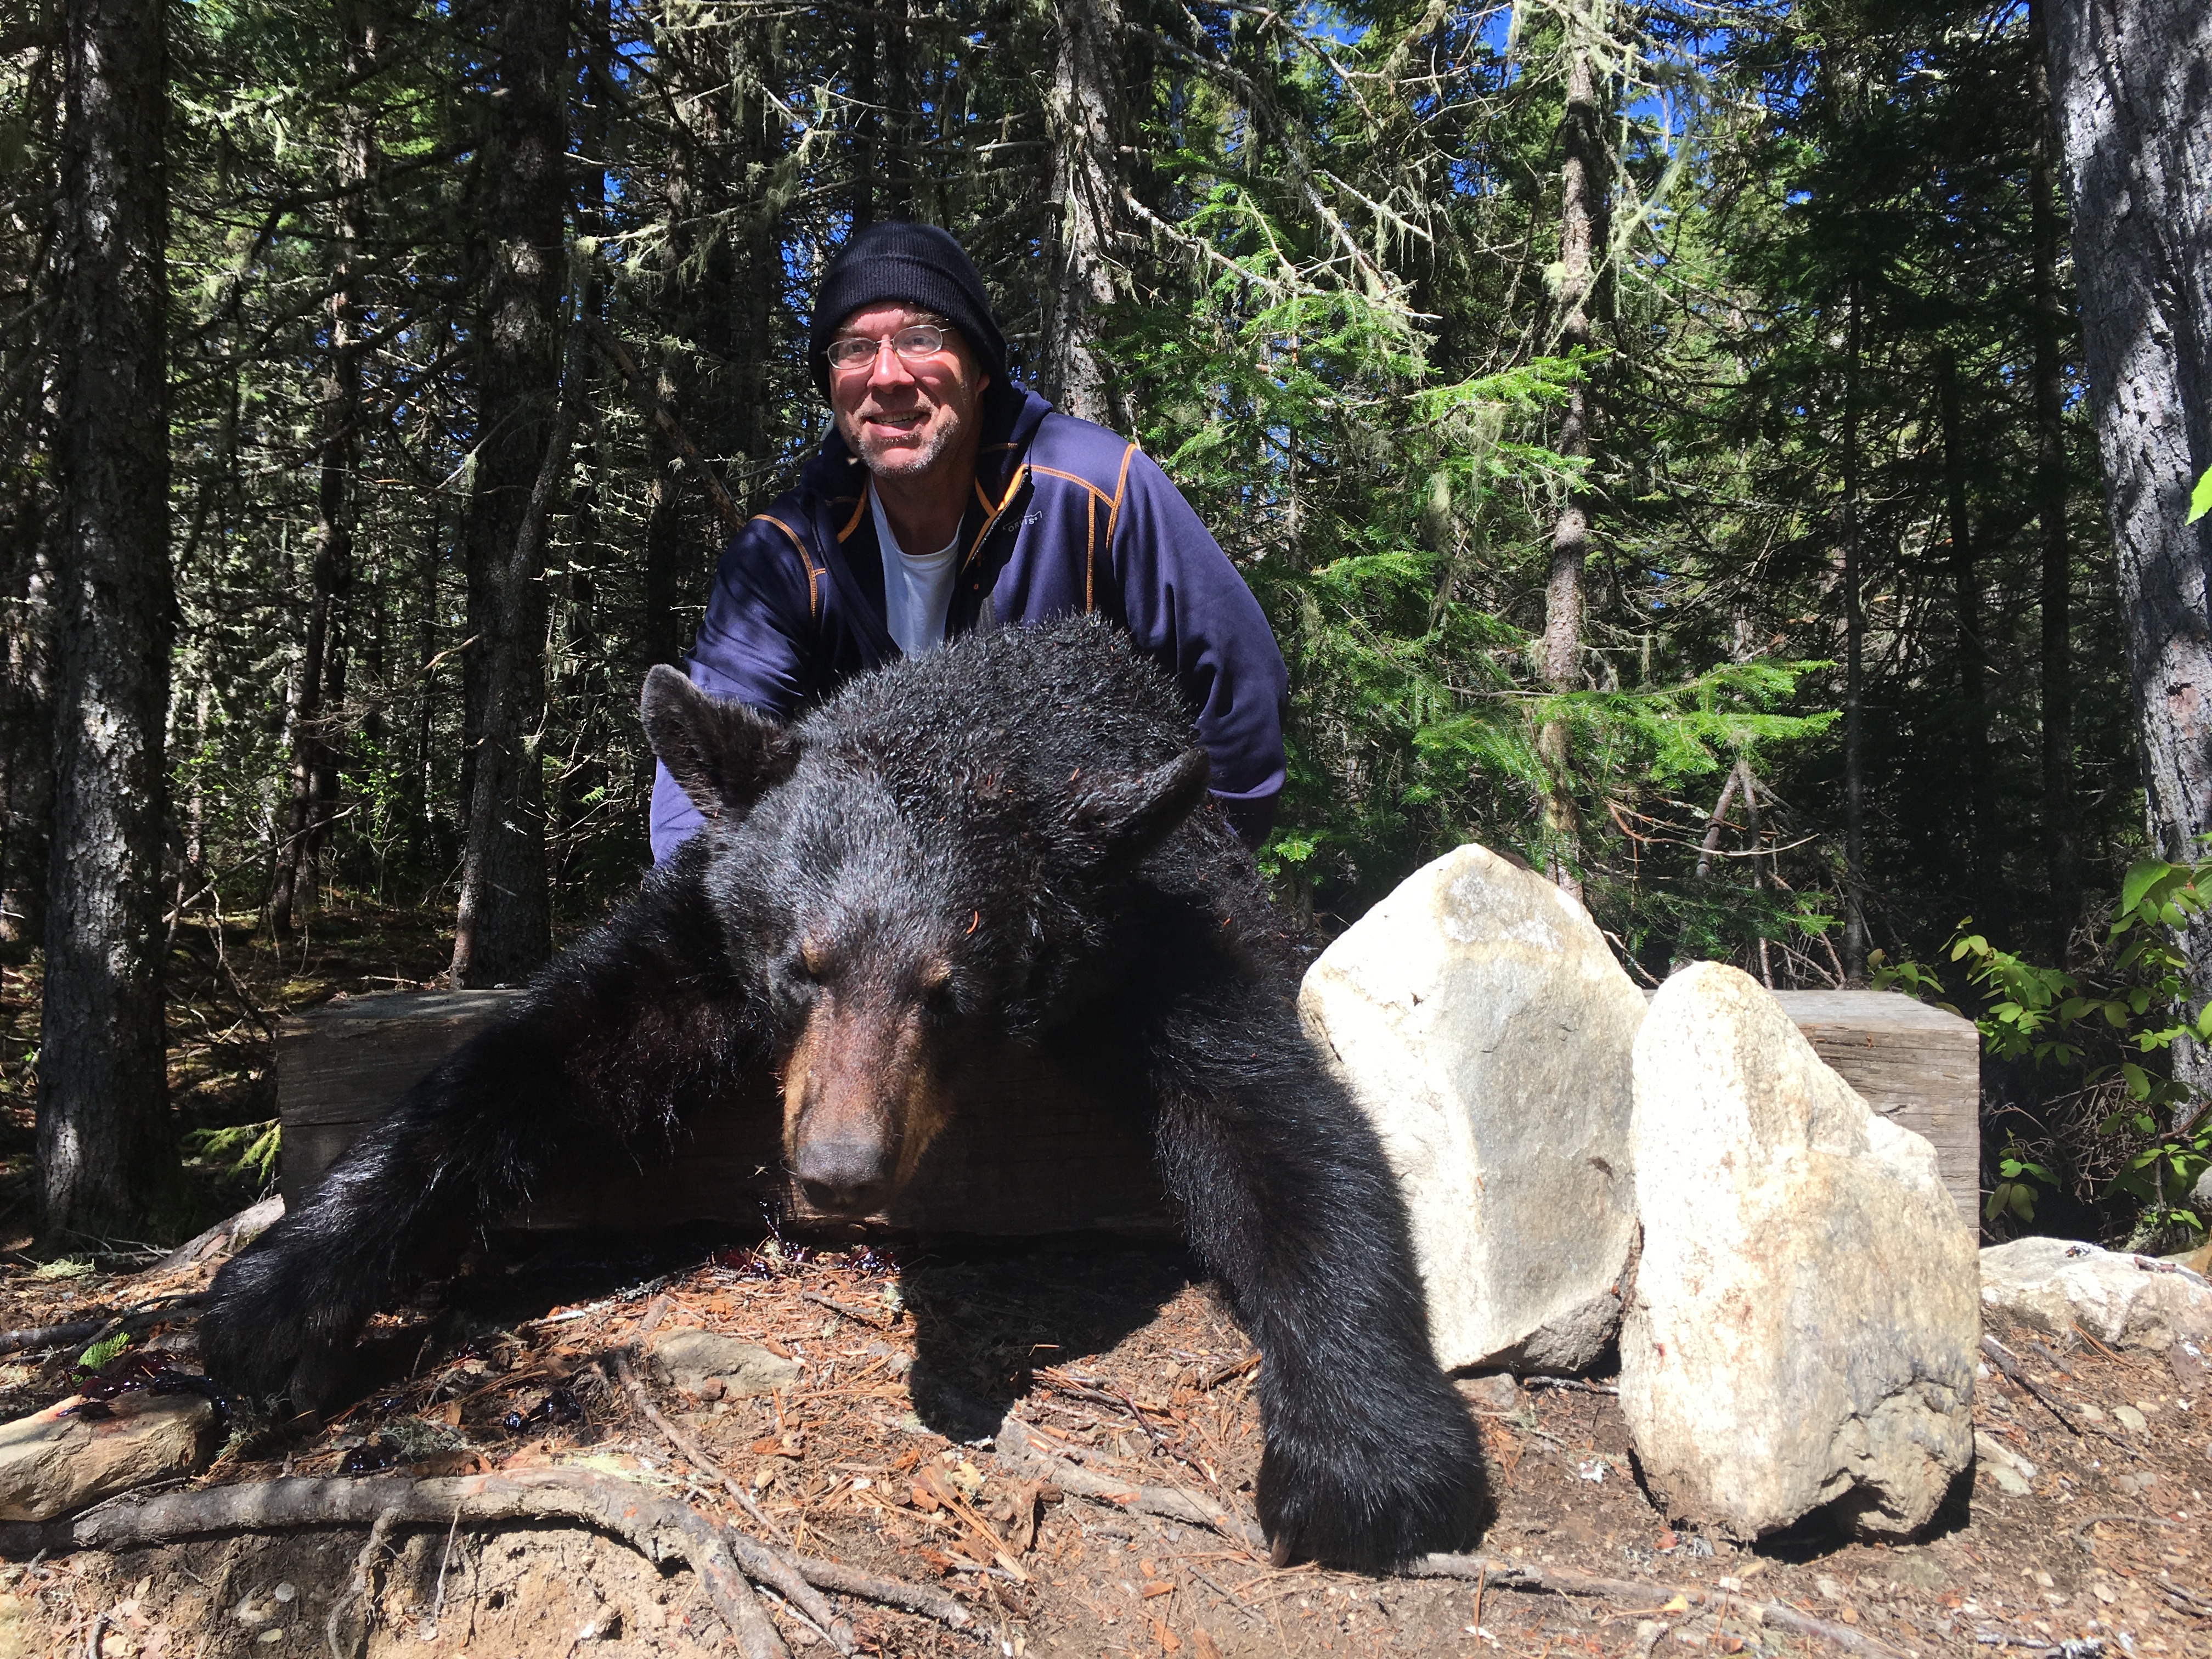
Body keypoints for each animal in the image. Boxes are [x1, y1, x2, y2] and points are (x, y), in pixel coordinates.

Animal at [198, 616, 1486, 1571]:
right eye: (799, 964)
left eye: (950, 990)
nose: (839, 1168)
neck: (980, 719)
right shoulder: (702, 926)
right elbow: (547, 1055)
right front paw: (275, 1296)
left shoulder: (1159, 927)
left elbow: (1276, 1122)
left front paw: (1363, 1449)